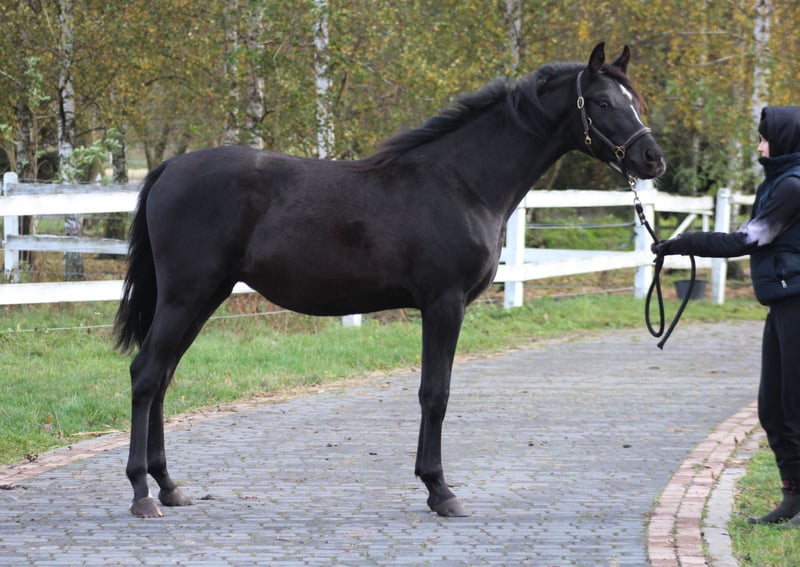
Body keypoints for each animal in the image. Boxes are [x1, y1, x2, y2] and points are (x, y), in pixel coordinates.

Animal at [114, 42, 666, 518]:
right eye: (601, 101)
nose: (652, 159)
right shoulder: (444, 304)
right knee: (146, 374)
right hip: (186, 295)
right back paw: (142, 492)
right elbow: (435, 394)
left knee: (163, 376)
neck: (463, 183)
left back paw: (169, 486)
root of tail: (169, 168)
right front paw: (441, 490)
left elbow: (432, 392)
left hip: (204, 296)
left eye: (635, 102)